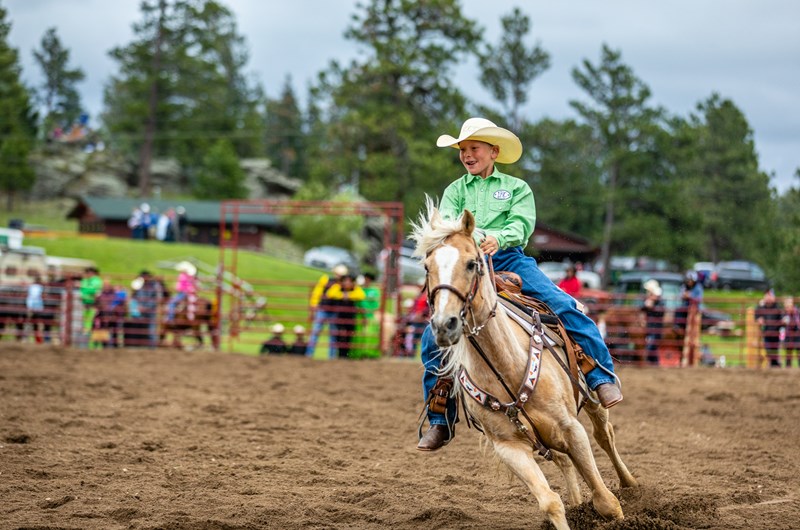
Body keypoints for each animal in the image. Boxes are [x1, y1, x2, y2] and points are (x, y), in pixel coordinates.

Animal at [412, 203, 636, 528]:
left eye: (471, 264)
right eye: (428, 267)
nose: (444, 324)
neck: (506, 368)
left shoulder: (572, 429)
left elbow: (606, 501)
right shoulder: (509, 448)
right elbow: (550, 502)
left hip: (593, 401)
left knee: (605, 436)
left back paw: (631, 484)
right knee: (564, 461)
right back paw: (578, 503)